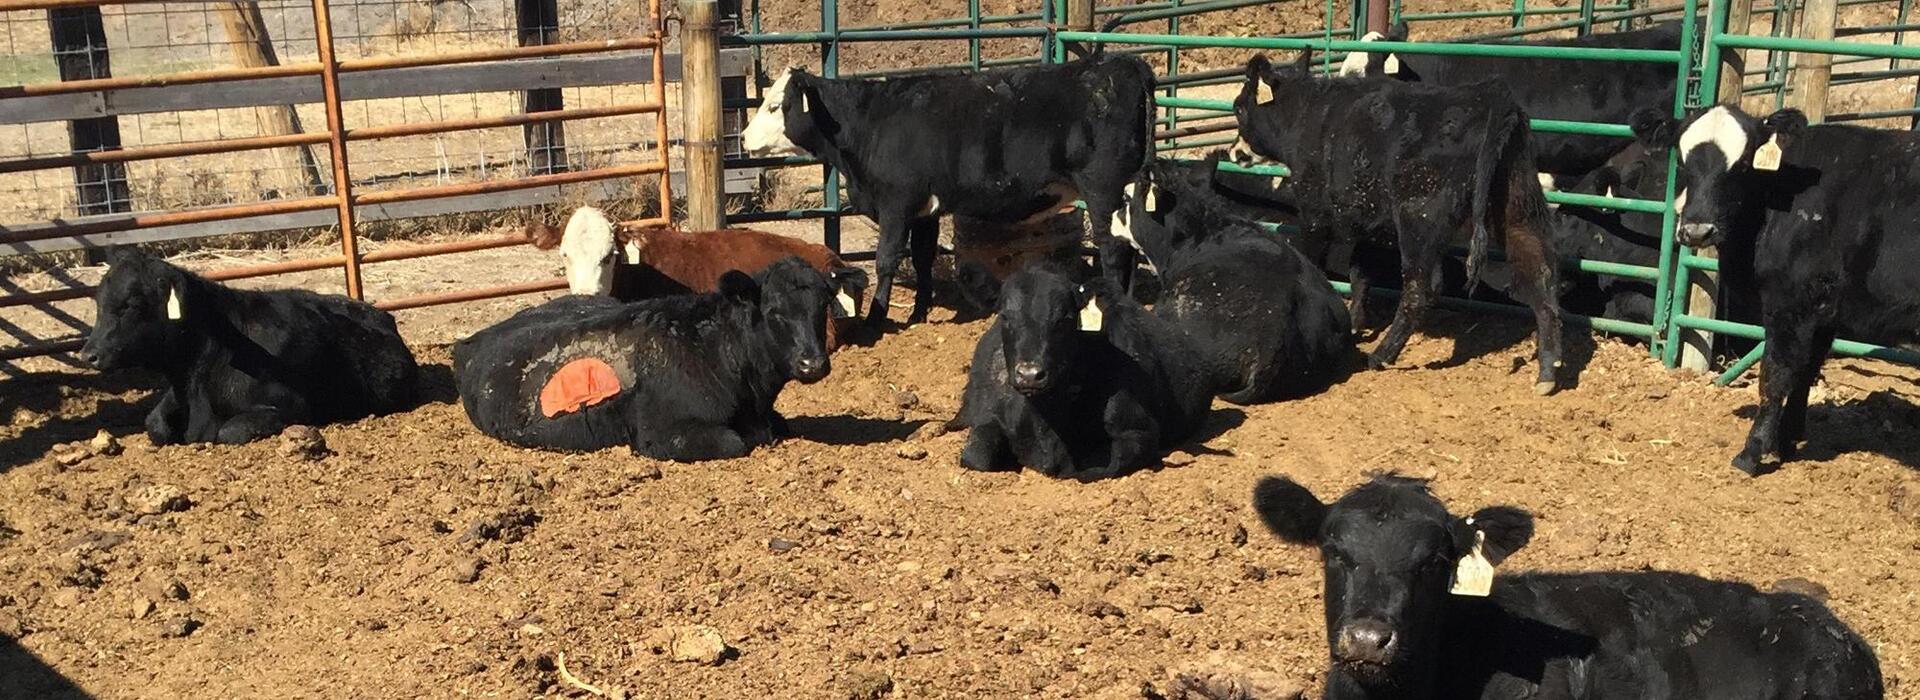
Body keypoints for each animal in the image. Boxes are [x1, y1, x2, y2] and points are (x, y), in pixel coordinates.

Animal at [76, 247, 418, 445]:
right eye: (99, 303)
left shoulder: (291, 406)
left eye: (131, 304)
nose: (89, 355)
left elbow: (227, 431)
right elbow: (154, 424)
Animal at [739, 53, 1157, 325]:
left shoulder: (896, 204)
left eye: (776, 106)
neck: (871, 124)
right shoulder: (926, 210)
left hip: (1102, 191)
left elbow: (887, 258)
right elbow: (923, 258)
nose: (743, 138)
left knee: (1114, 250)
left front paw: (877, 317)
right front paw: (920, 311)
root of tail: (1122, 64)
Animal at [948, 264, 1215, 477]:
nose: (1030, 374)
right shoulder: (990, 418)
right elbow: (976, 456)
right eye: (1005, 317)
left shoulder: (1139, 431)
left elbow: (1096, 468)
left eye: (1065, 318)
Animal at [1233, 52, 1565, 394]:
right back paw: (1547, 371)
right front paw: (1355, 323)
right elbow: (1360, 274)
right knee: (1541, 275)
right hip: (1518, 212)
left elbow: (1318, 263)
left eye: (1239, 107)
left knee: (1421, 291)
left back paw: (1381, 355)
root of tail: (1487, 96)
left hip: (1418, 220)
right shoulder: (1367, 223)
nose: (1237, 153)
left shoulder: (1314, 215)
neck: (1307, 112)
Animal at [1630, 103, 1920, 475]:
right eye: (1681, 162)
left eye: (1742, 165)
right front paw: (1786, 443)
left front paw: (1752, 453)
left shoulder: (1790, 303)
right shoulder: (1824, 309)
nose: (1697, 231)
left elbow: (1776, 374)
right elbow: (1805, 371)